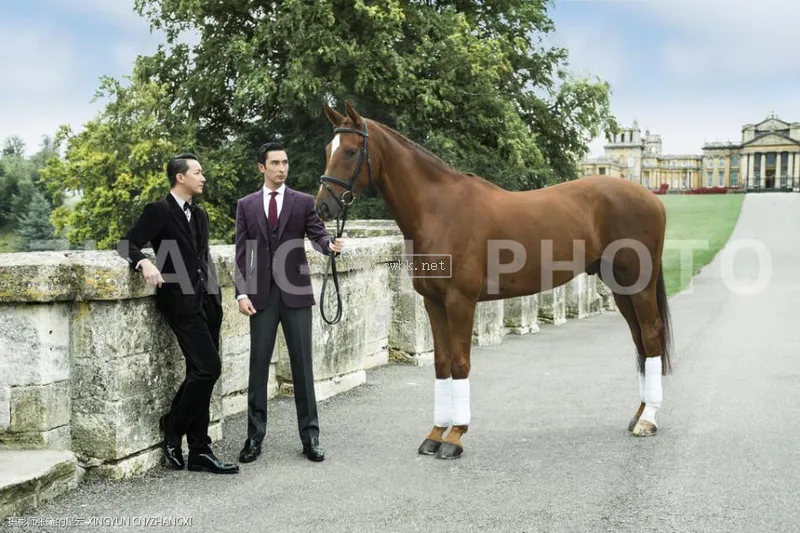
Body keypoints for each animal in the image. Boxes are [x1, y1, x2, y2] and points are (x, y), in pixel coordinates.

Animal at [316, 102, 672, 460]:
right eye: (327, 149)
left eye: (350, 151)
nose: (322, 206)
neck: (440, 211)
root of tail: (652, 198)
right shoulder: (433, 302)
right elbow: (441, 364)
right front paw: (435, 434)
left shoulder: (460, 301)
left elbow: (460, 364)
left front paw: (455, 437)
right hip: (621, 288)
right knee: (640, 341)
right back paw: (639, 414)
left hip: (639, 285)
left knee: (651, 337)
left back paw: (648, 420)